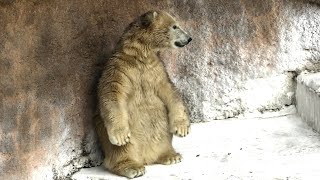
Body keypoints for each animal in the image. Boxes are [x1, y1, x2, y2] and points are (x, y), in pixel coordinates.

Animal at [94, 10, 191, 178]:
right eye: (175, 26)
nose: (189, 38)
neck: (139, 55)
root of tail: (145, 158)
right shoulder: (119, 69)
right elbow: (112, 94)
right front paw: (120, 136)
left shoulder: (156, 70)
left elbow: (170, 91)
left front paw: (182, 128)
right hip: (119, 137)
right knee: (122, 149)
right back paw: (132, 167)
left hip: (160, 132)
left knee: (162, 130)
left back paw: (170, 155)